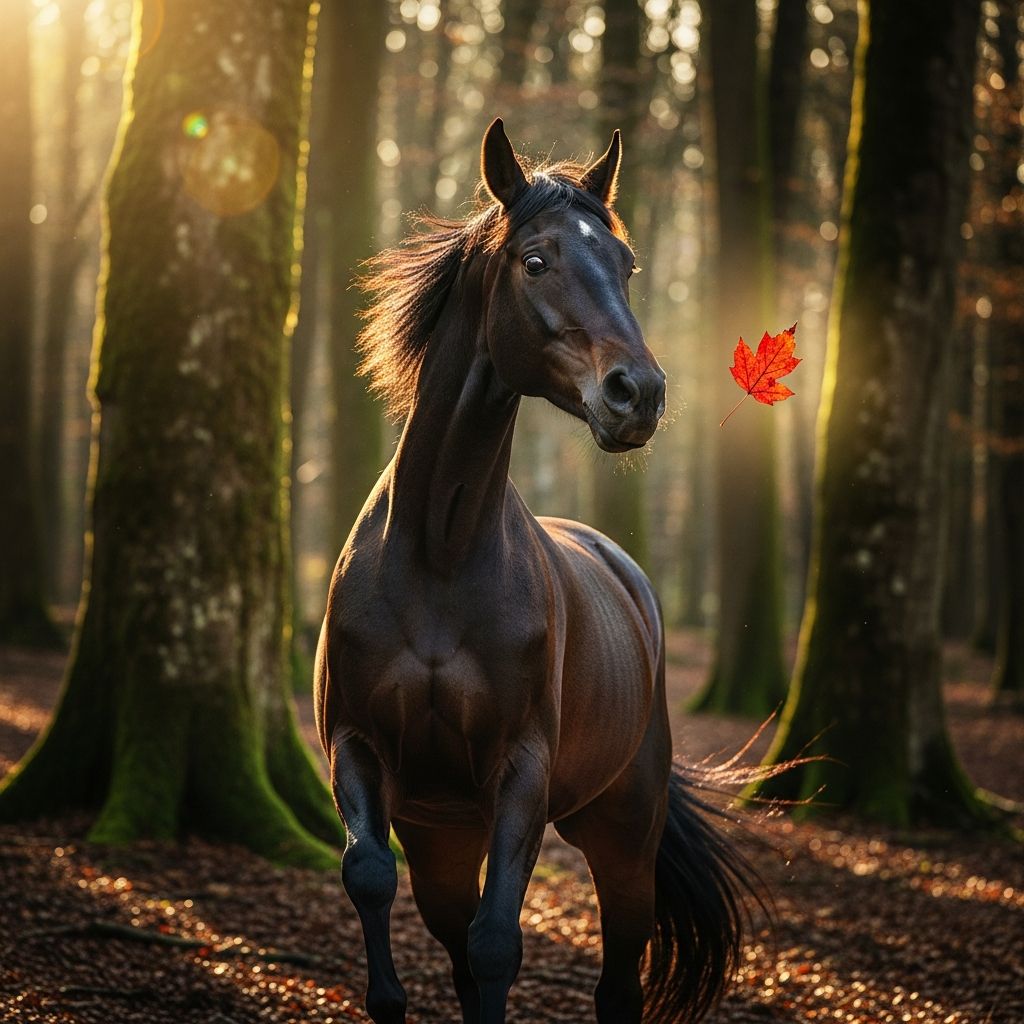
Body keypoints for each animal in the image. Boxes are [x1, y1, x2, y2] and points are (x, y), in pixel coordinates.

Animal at [315, 118, 756, 1024]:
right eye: (538, 260)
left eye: (626, 264)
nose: (638, 394)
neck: (440, 551)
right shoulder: (356, 746)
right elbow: (373, 879)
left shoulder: (522, 770)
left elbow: (497, 941)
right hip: (445, 836)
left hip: (623, 832)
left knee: (618, 979)